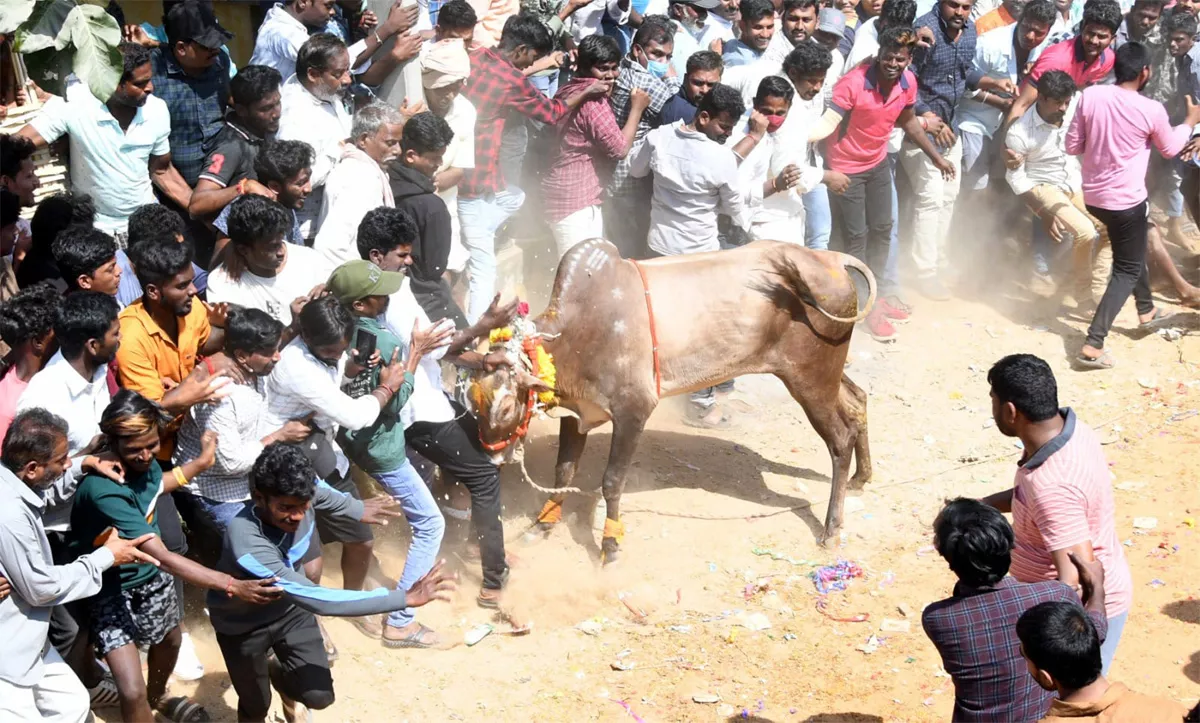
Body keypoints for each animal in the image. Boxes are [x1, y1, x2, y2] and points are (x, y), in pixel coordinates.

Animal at [465, 238, 873, 559]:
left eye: (506, 406)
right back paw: (861, 478)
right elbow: (563, 472)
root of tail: (830, 258)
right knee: (857, 402)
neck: (577, 330)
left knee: (840, 438)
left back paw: (831, 528)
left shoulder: (633, 411)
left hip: (810, 379)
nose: (490, 458)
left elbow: (612, 481)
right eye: (473, 401)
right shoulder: (577, 412)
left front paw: (610, 547)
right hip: (823, 374)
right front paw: (542, 526)